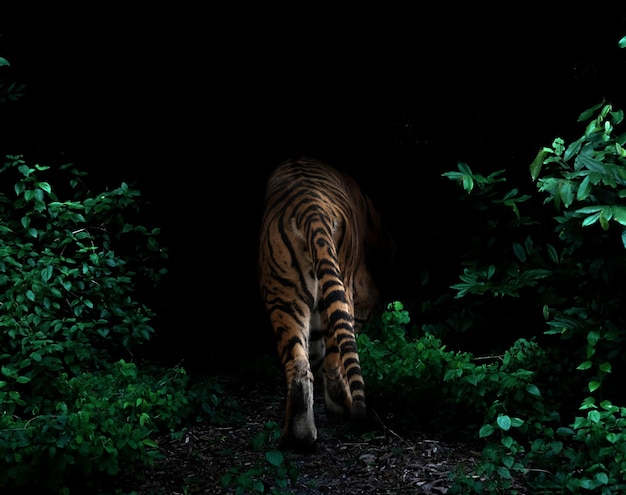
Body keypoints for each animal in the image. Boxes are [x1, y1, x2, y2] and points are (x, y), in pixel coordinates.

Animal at [254, 158, 390, 450]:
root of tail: (310, 210)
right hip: (340, 289)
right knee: (334, 359)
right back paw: (344, 407)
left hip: (282, 295)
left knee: (298, 366)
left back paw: (299, 436)